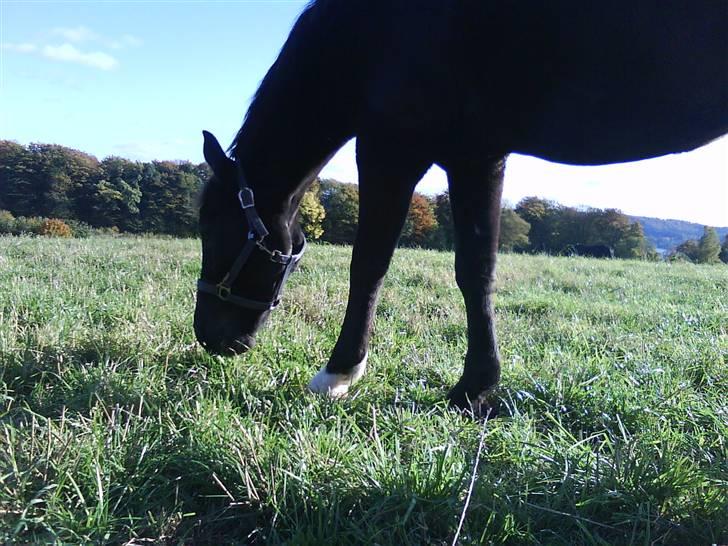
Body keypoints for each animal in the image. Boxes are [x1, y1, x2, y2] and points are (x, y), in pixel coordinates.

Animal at [194, 0, 728, 413]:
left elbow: (373, 264)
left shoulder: (395, 149)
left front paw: (342, 373)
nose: (208, 338)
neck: (372, 33)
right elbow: (477, 270)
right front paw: (478, 386)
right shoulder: (475, 155)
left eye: (213, 229)